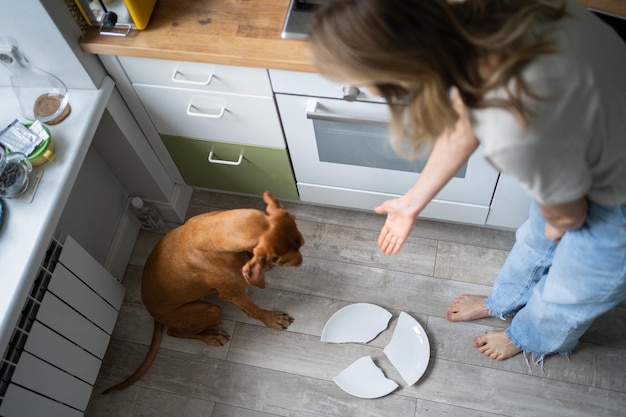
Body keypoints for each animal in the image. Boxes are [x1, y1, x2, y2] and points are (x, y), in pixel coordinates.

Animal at [103, 190, 304, 392]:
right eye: (279, 258)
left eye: (300, 241)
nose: (300, 261)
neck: (212, 233)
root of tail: (152, 312)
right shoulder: (234, 294)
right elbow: (254, 310)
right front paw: (272, 319)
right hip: (210, 310)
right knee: (174, 332)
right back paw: (211, 336)